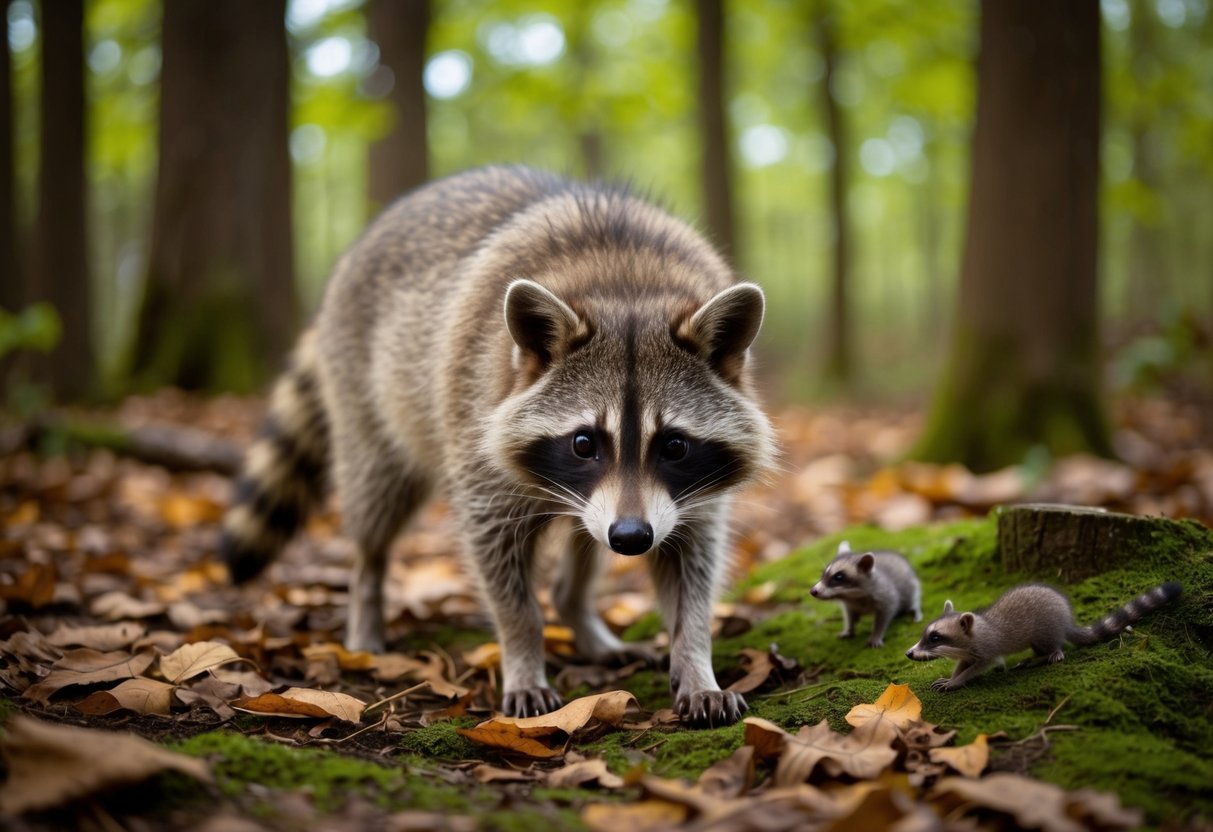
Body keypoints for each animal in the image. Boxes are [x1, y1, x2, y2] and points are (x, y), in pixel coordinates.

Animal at [221, 166, 776, 726]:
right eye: (583, 443)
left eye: (675, 446)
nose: (631, 537)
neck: (626, 286)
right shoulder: (476, 425)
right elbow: (498, 559)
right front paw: (524, 653)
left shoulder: (687, 494)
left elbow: (692, 565)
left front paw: (696, 659)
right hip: (366, 400)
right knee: (375, 505)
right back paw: (366, 596)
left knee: (586, 542)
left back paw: (579, 610)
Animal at [905, 581, 1181, 691]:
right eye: (926, 634)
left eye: (935, 638)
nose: (908, 653)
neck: (974, 631)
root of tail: (1066, 620)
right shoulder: (967, 651)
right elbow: (963, 664)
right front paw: (953, 676)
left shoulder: (987, 649)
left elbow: (980, 666)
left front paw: (958, 681)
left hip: (1045, 629)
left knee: (1051, 644)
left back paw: (1049, 653)